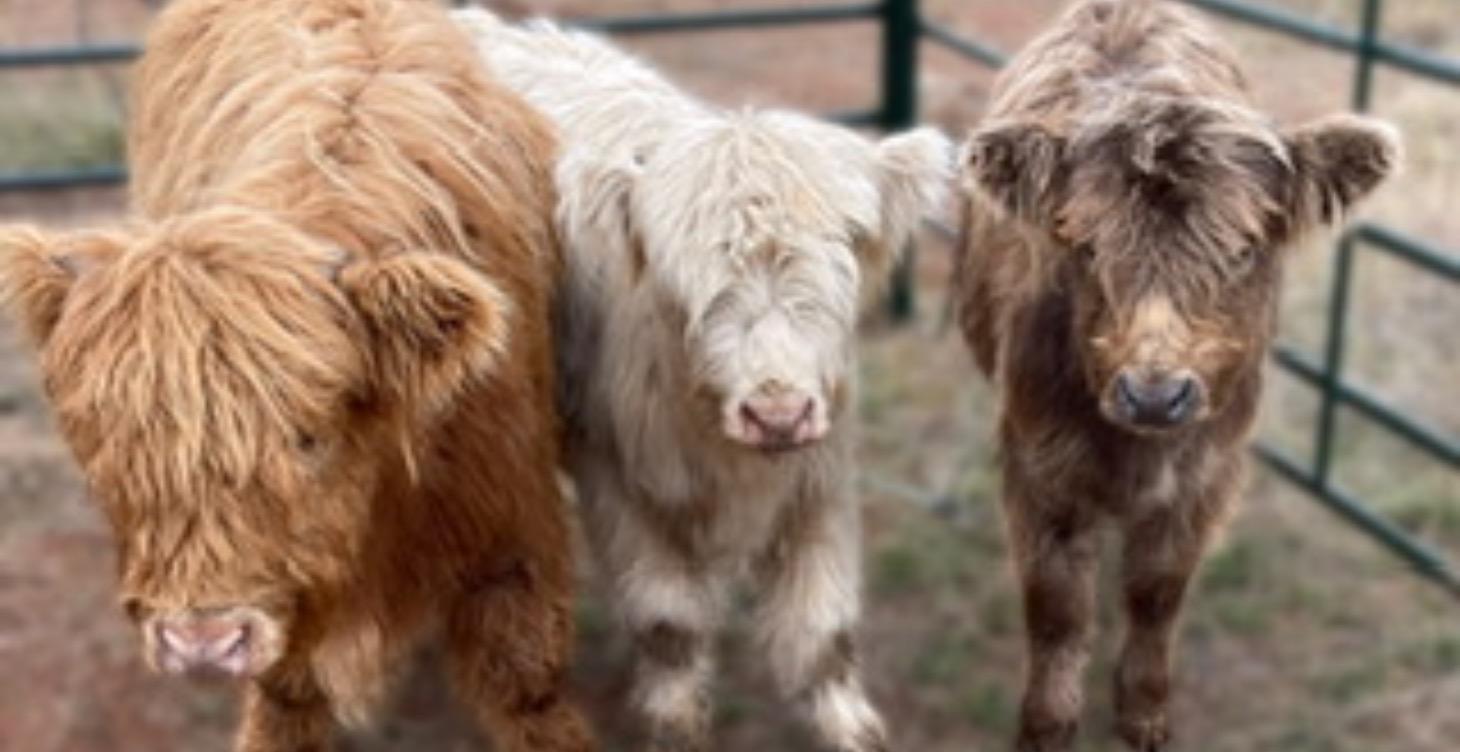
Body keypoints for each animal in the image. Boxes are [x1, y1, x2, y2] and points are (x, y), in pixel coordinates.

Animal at [0, 1, 591, 750]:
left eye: (309, 439)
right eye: (109, 452)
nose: (202, 644)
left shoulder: (512, 540)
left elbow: (526, 690)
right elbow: (289, 694)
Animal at [455, 10, 952, 752]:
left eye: (846, 249)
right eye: (683, 274)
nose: (777, 414)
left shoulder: (820, 476)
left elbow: (824, 627)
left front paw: (848, 724)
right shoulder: (619, 478)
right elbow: (670, 621)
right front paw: (676, 722)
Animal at [954, 1, 1399, 750]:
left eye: (1245, 248)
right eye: (1084, 245)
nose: (1155, 396)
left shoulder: (1206, 473)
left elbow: (1157, 592)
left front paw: (1143, 713)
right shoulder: (1039, 468)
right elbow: (1057, 607)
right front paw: (1046, 727)